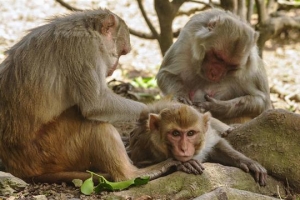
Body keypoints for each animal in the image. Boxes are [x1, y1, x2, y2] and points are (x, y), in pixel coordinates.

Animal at [0, 8, 178, 184]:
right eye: (121, 52)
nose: (115, 66)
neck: (87, 29)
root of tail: (20, 168)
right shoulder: (85, 48)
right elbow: (96, 104)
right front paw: (153, 110)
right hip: (48, 150)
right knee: (95, 125)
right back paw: (131, 174)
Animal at [129, 100, 268, 186]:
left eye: (190, 133)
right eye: (175, 133)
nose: (184, 148)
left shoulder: (207, 136)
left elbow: (216, 144)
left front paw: (247, 162)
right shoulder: (145, 147)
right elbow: (142, 173)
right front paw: (184, 164)